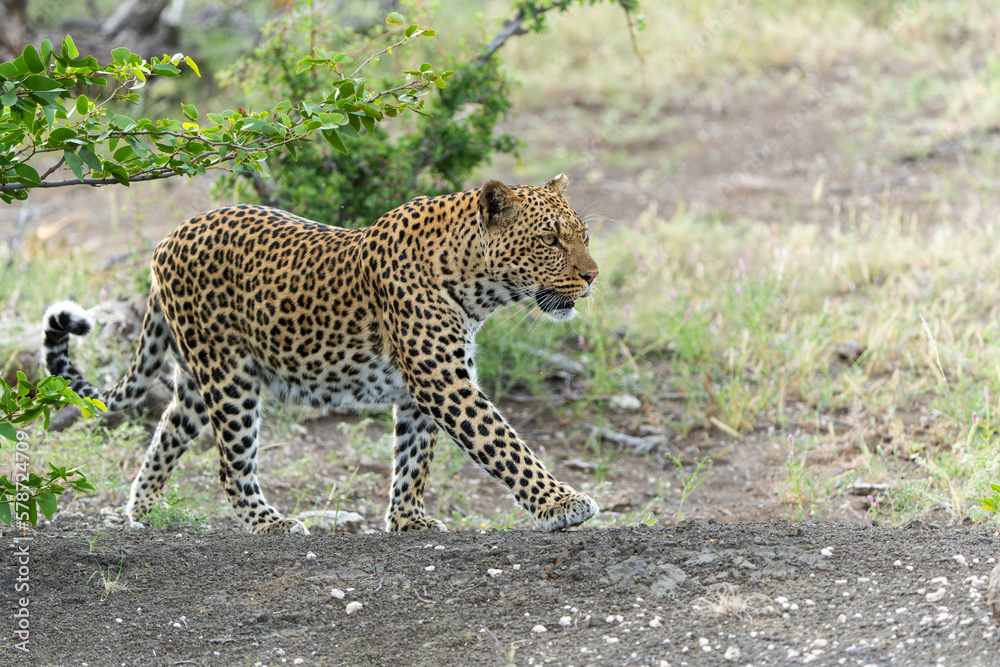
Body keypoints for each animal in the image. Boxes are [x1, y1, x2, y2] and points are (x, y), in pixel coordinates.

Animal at [42, 174, 600, 535]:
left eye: (584, 235)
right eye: (550, 240)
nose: (593, 275)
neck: (476, 284)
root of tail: (165, 241)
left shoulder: (423, 387)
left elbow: (413, 458)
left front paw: (407, 520)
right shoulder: (443, 382)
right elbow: (504, 443)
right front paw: (563, 504)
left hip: (199, 379)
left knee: (167, 432)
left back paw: (146, 512)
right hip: (230, 377)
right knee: (230, 465)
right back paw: (271, 523)